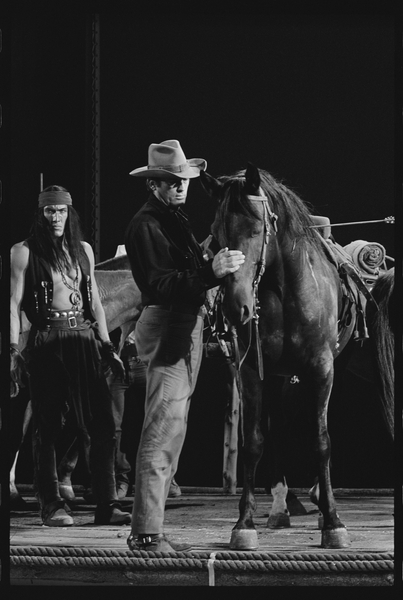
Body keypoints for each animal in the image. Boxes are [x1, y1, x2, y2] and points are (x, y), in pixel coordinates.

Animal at [200, 163, 386, 548]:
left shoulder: (322, 368)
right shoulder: (251, 371)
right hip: (275, 376)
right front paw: (244, 523)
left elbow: (321, 440)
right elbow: (254, 441)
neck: (286, 291)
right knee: (276, 427)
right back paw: (281, 506)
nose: (235, 307)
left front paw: (333, 522)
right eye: (216, 233)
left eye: (256, 229)